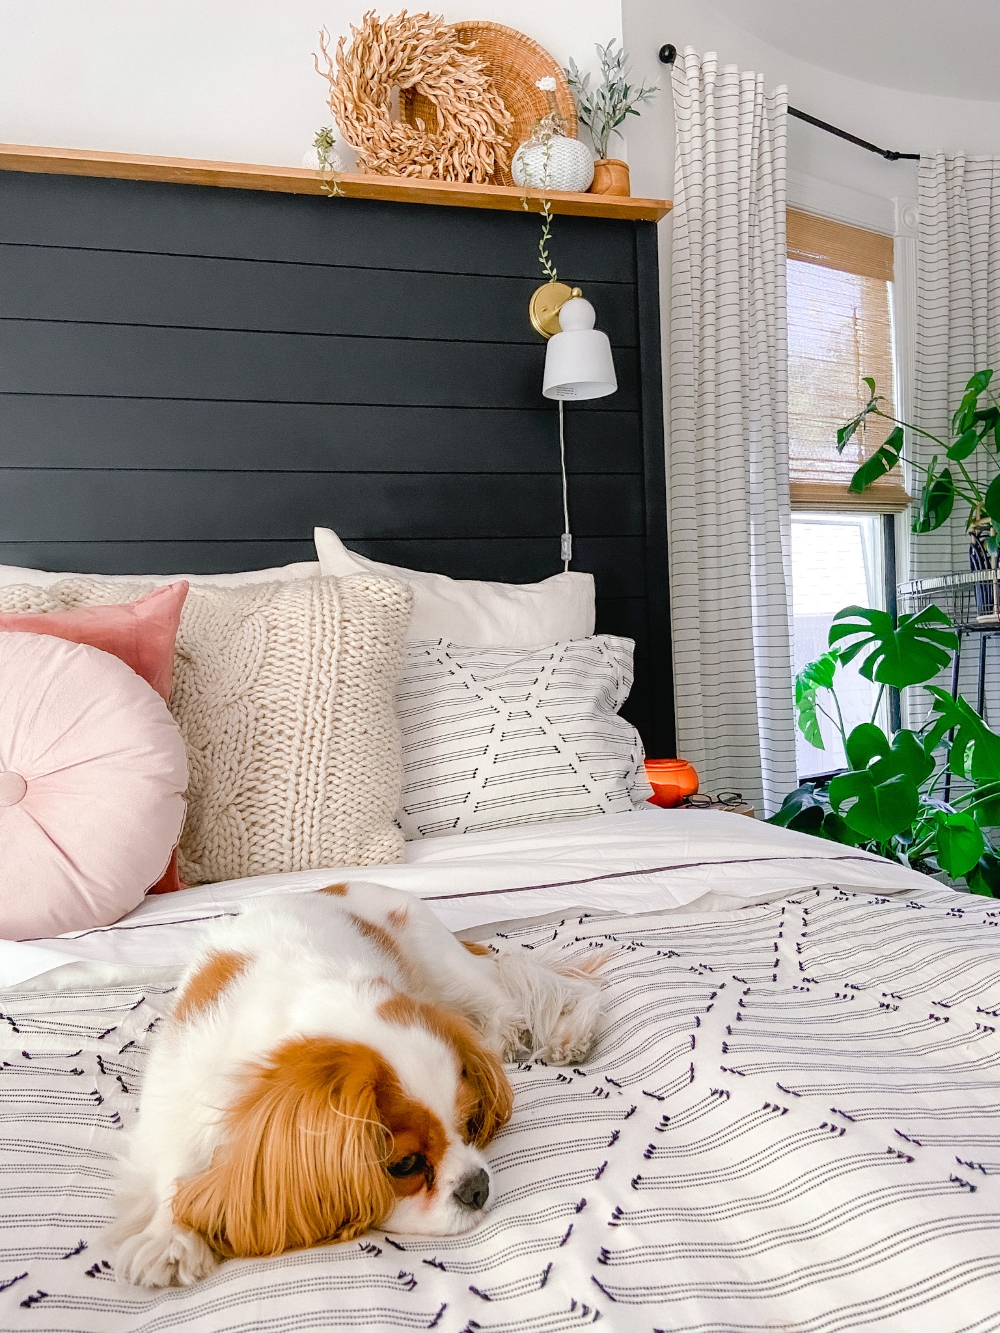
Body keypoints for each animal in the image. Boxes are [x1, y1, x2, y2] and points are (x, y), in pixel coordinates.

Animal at [113, 879, 608, 1285]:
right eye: (405, 1166)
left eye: (469, 1125)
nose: (478, 1187)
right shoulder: (177, 1085)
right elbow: (175, 1159)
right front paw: (170, 1236)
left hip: (447, 968)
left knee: (513, 1007)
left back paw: (561, 1039)